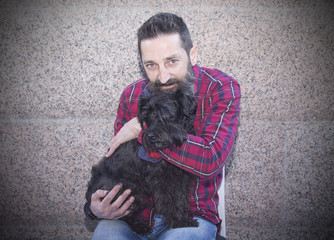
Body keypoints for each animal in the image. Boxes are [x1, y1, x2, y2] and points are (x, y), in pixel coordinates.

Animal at [86, 89, 200, 233]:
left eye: (165, 113)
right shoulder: (163, 180)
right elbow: (171, 200)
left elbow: (180, 197)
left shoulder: (180, 177)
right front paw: (180, 221)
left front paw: (183, 216)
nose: (151, 137)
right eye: (147, 117)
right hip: (129, 192)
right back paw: (140, 227)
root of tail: (90, 196)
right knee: (124, 215)